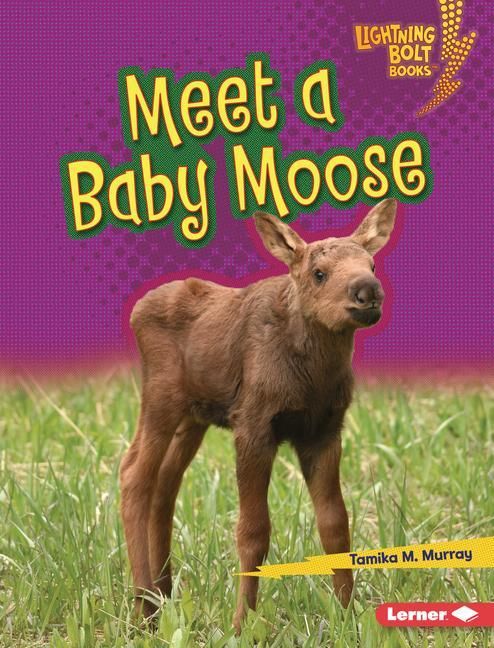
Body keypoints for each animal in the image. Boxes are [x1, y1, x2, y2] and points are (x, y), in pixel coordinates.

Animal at [120, 198, 397, 632]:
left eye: (371, 263)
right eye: (319, 273)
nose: (367, 291)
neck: (314, 376)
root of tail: (136, 311)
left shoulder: (324, 430)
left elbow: (335, 524)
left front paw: (348, 615)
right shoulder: (253, 425)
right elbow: (253, 531)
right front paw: (241, 623)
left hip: (194, 417)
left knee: (165, 483)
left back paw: (164, 594)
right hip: (161, 398)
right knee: (134, 474)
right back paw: (145, 610)